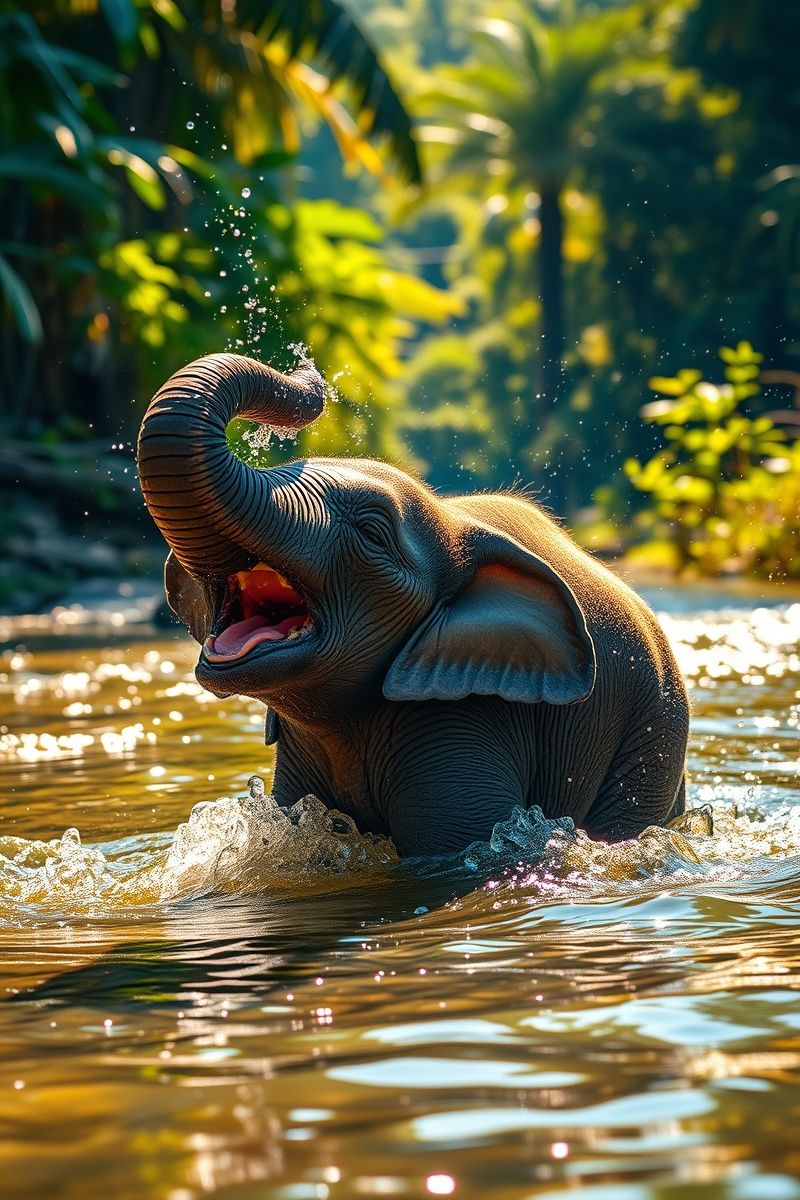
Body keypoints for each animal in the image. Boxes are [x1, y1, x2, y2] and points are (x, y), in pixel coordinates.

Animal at [136, 352, 689, 856]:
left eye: (372, 533)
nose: (307, 371)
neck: (453, 520)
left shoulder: (466, 711)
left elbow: (452, 850)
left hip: (654, 735)